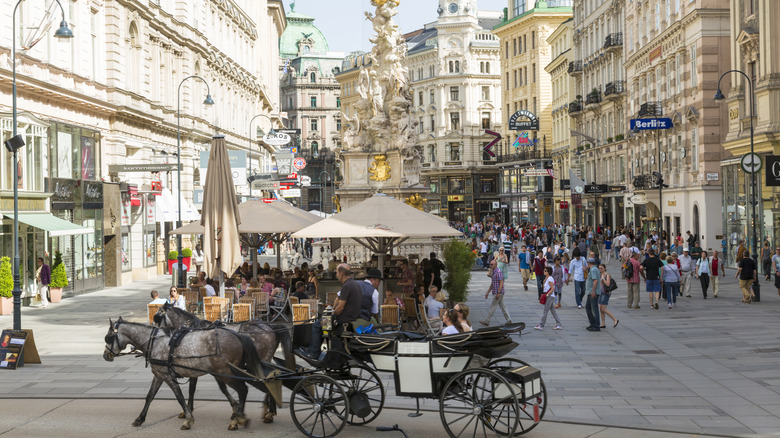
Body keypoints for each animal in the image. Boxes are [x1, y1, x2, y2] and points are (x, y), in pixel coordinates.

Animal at [103, 316, 266, 430]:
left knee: (242, 389)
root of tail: (239, 335)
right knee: (241, 389)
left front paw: (188, 419)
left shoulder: (168, 376)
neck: (155, 342)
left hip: (225, 372)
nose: (105, 355)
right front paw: (140, 418)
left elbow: (180, 397)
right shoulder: (159, 374)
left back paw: (239, 419)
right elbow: (150, 396)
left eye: (108, 337)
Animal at [153, 302, 296, 422]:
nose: (154, 336)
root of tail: (270, 326)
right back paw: (270, 410)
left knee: (267, 380)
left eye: (157, 319)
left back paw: (269, 412)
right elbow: (216, 388)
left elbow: (201, 388)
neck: (191, 330)